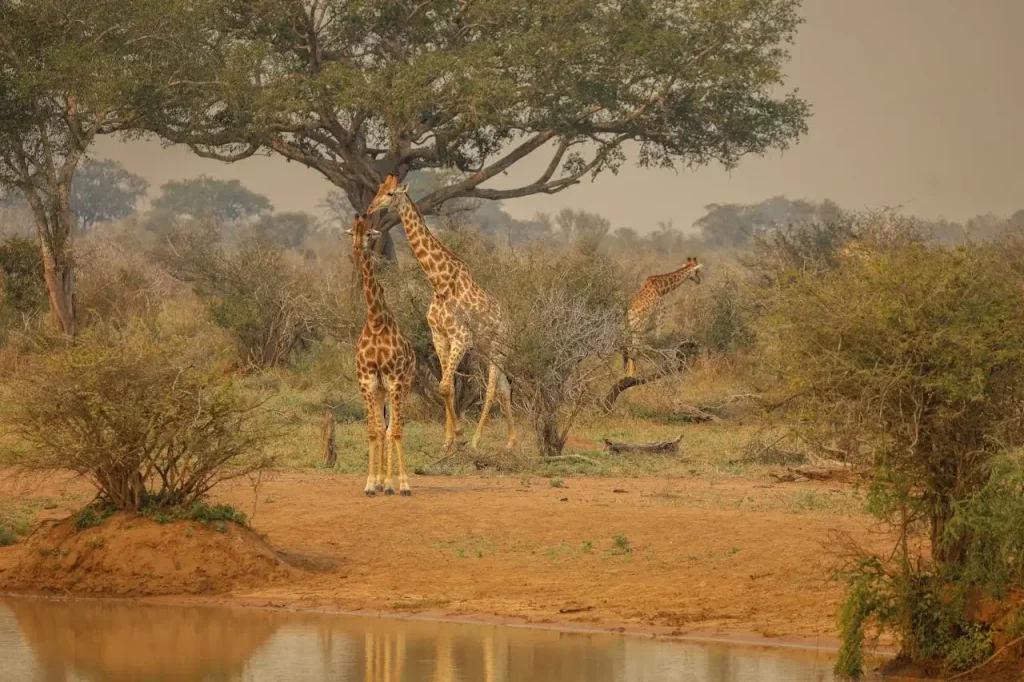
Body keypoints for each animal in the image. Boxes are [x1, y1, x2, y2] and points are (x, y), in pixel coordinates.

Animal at [364, 175, 516, 450]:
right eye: (379, 189)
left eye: (391, 194)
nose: (370, 209)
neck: (440, 283)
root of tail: (512, 326)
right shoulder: (440, 336)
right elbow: (446, 387)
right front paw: (448, 439)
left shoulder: (461, 337)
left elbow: (445, 385)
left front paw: (459, 434)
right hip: (486, 351)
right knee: (504, 388)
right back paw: (511, 441)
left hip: (498, 350)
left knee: (491, 390)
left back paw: (477, 440)